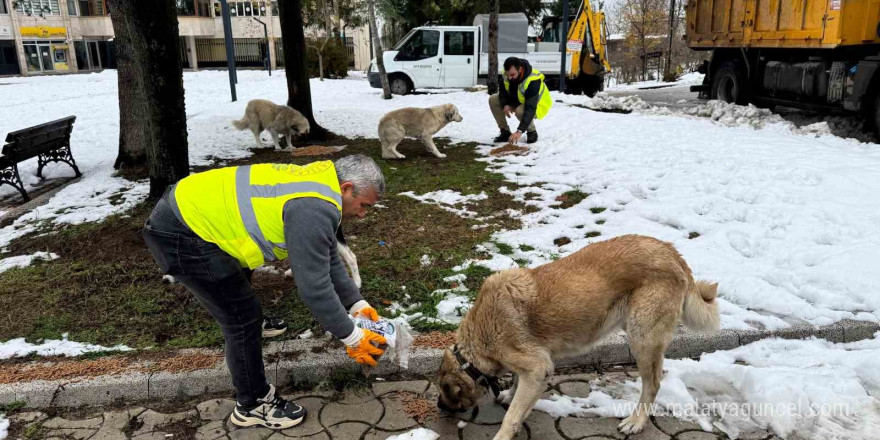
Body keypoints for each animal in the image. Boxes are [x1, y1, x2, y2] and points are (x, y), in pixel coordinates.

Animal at [436, 235, 720, 440]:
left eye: (442, 390)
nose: (439, 406)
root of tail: (672, 252)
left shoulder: (537, 367)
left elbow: (511, 417)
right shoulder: (534, 367)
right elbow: (517, 385)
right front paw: (510, 394)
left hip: (641, 339)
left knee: (653, 385)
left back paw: (636, 422)